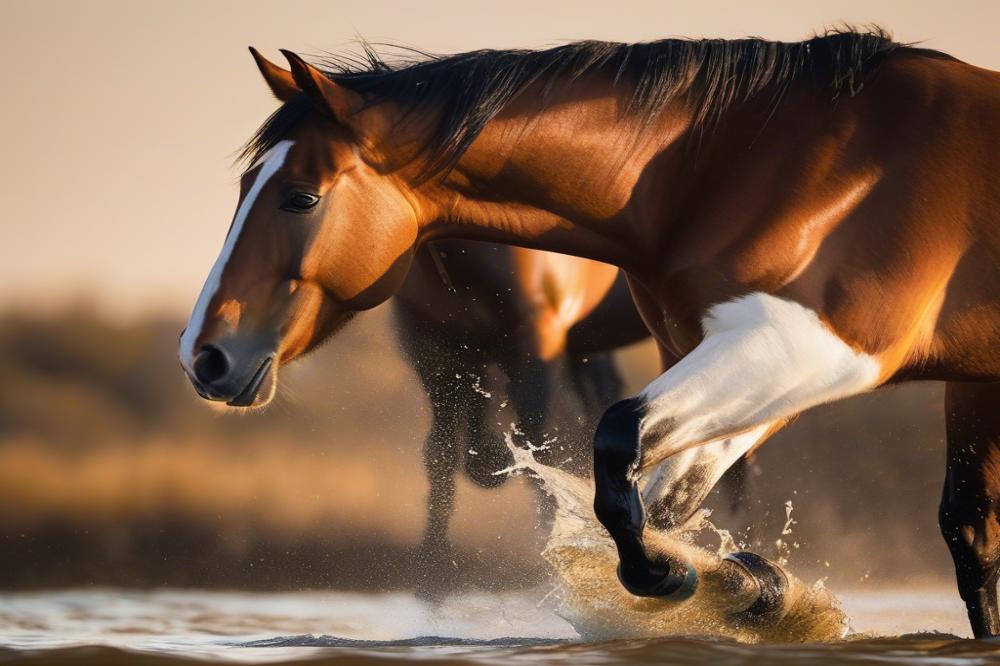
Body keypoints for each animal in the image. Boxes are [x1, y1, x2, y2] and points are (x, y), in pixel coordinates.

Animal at [180, 29, 1000, 632]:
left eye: (300, 196)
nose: (204, 356)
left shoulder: (808, 349)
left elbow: (613, 447)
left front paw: (684, 577)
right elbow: (646, 496)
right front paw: (747, 586)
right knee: (970, 533)